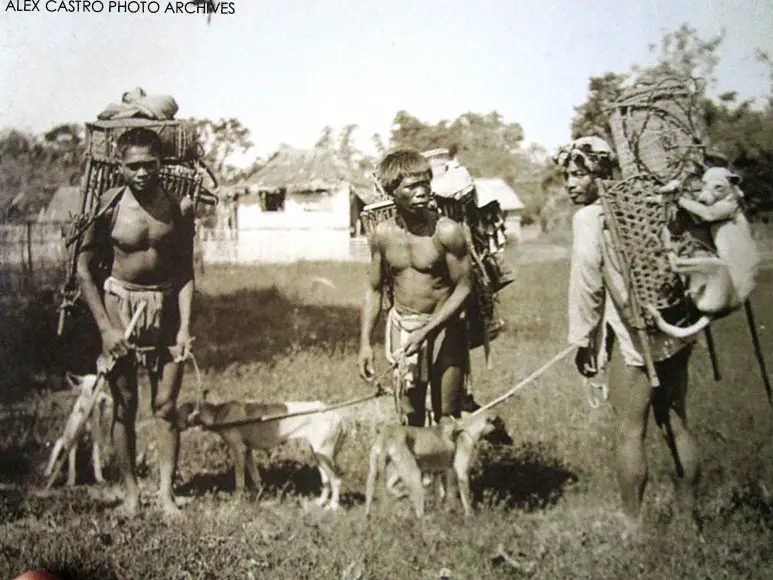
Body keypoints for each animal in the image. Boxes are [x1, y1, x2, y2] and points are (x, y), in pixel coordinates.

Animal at [176, 394, 346, 508]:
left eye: (177, 412)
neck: (219, 413)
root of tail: (336, 415)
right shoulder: (248, 451)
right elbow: (256, 477)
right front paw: (261, 497)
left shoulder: (238, 450)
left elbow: (239, 482)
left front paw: (236, 502)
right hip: (318, 454)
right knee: (326, 480)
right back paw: (320, 502)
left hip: (323, 453)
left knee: (336, 479)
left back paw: (333, 506)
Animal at [364, 410, 504, 520]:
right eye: (502, 426)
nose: (508, 438)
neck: (467, 429)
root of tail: (386, 436)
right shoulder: (460, 474)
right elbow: (463, 498)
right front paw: (469, 515)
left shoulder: (438, 473)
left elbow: (439, 495)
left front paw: (442, 512)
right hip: (414, 475)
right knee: (419, 511)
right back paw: (425, 518)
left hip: (374, 474)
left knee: (375, 492)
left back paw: (369, 516)